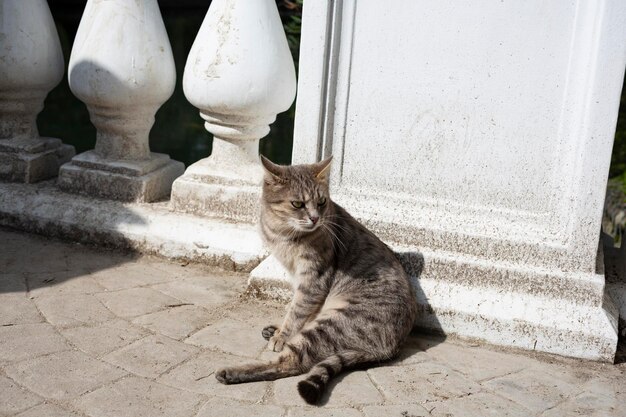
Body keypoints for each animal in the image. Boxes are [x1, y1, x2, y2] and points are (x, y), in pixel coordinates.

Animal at [214, 155, 414, 404]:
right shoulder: (297, 276)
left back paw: (232, 372)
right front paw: (281, 329)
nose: (315, 218)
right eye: (297, 204)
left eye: (321, 202)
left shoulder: (313, 280)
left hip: (331, 325)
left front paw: (283, 335)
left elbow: (298, 310)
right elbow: (296, 309)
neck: (283, 235)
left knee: (291, 363)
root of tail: (391, 348)